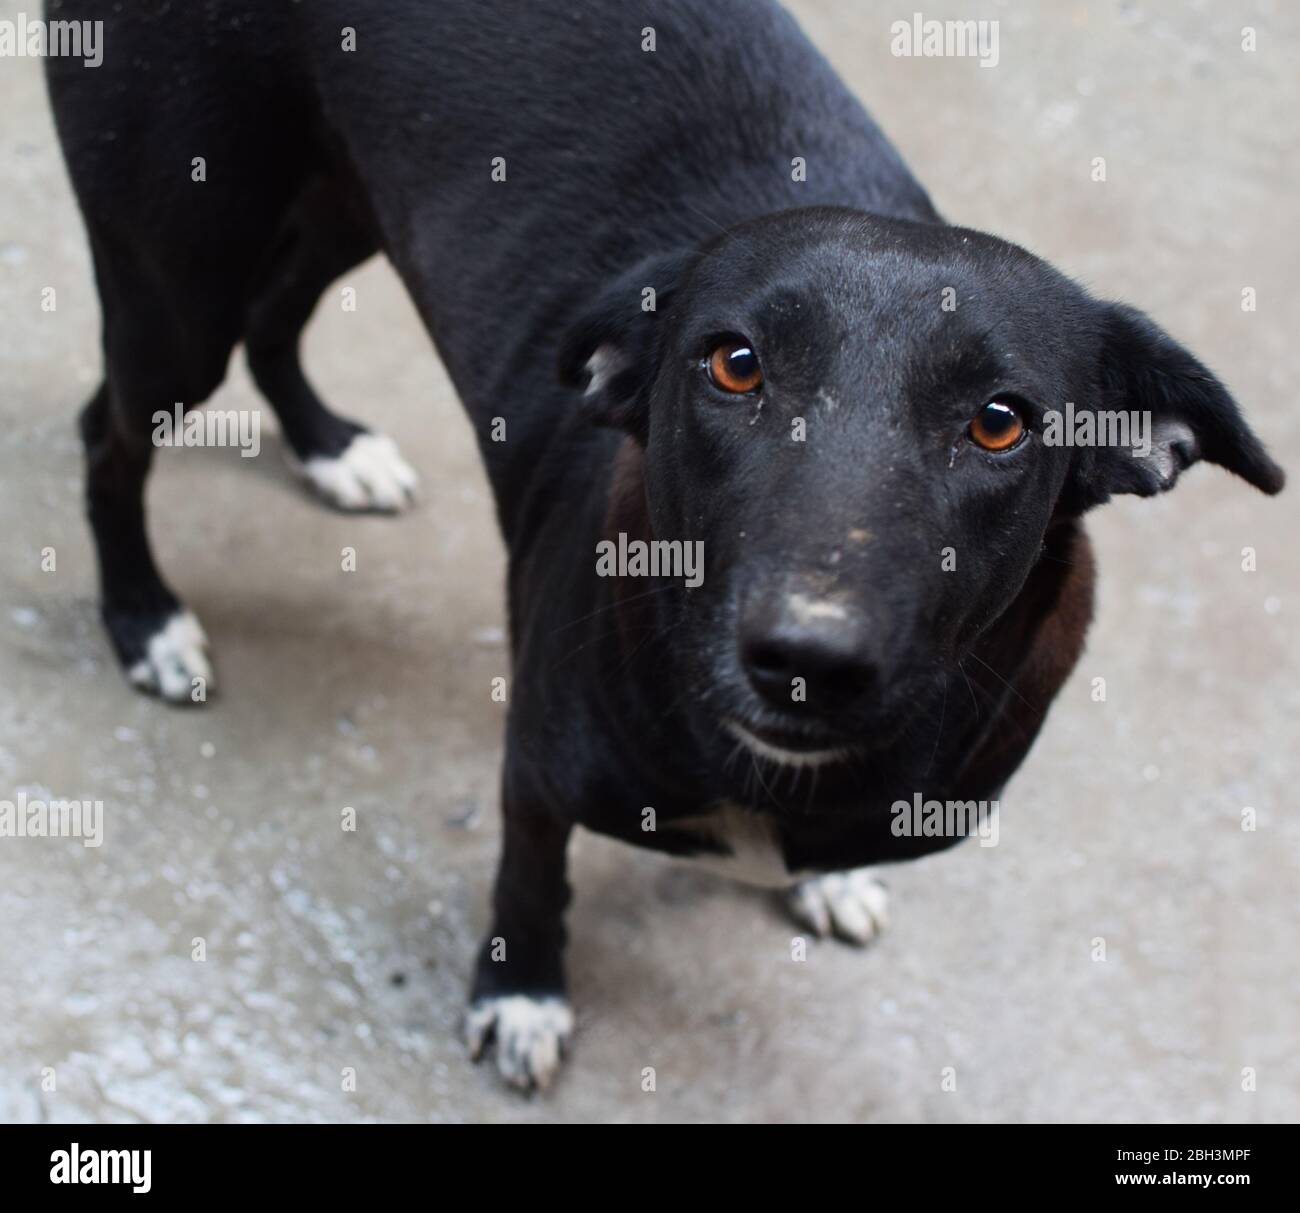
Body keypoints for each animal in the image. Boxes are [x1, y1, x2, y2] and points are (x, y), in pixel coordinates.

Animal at [45, 0, 1284, 1092]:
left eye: (998, 421)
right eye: (733, 363)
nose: (803, 659)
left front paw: (826, 882)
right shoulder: (538, 761)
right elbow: (529, 875)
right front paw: (521, 995)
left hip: (338, 198)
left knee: (278, 316)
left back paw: (329, 446)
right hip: (181, 273)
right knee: (111, 433)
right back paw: (146, 621)